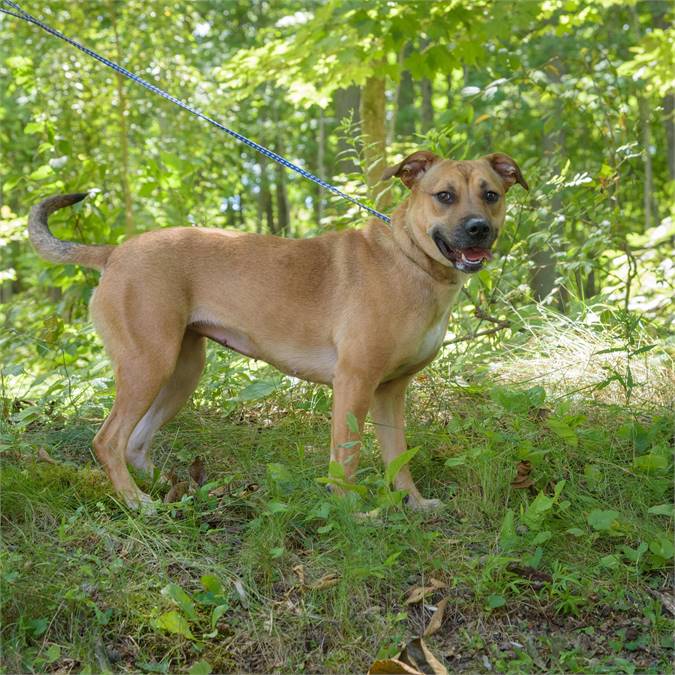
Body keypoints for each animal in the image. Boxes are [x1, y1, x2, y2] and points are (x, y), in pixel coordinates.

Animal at [27, 152, 528, 512]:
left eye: (491, 194)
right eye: (444, 195)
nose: (478, 229)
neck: (412, 262)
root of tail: (115, 253)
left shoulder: (391, 392)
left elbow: (397, 458)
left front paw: (414, 504)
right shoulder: (355, 383)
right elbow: (346, 458)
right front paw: (351, 513)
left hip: (181, 371)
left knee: (134, 443)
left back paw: (166, 490)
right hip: (148, 366)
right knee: (108, 441)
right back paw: (137, 503)